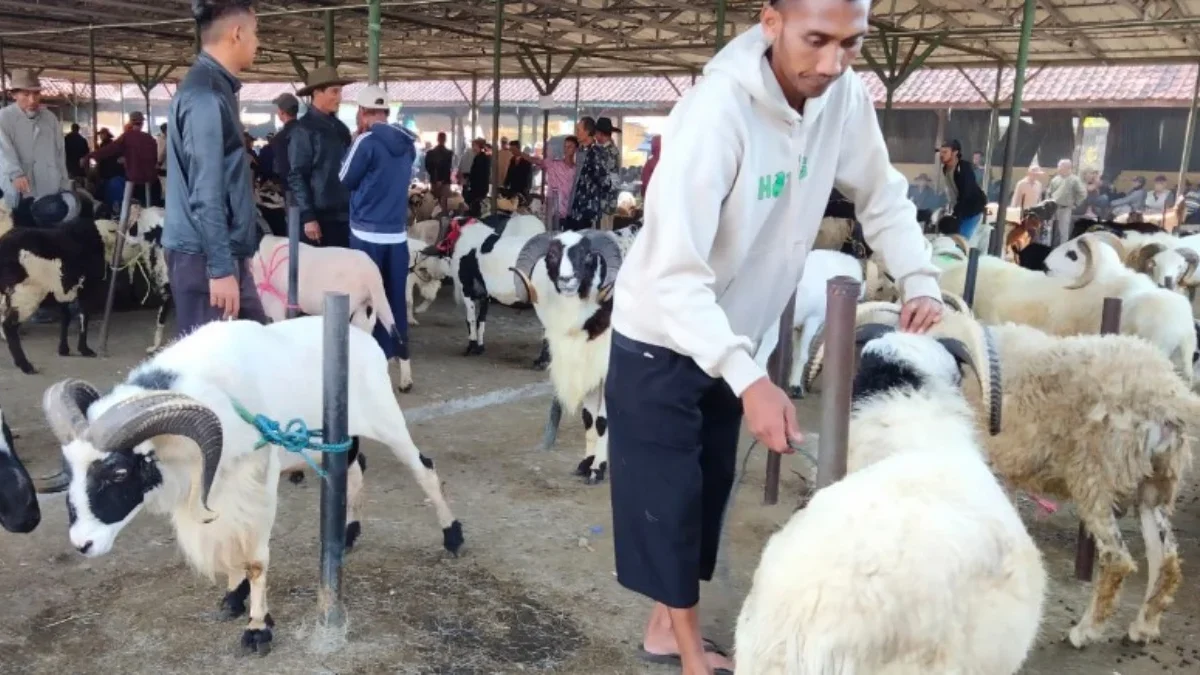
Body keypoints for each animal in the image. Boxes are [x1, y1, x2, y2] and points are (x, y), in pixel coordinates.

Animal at [0, 189, 106, 372]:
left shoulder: (63, 288)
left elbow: (65, 317)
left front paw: (63, 349)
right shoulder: (87, 288)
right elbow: (83, 317)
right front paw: (85, 349)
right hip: (24, 295)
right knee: (9, 326)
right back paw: (25, 365)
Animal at [44, 317, 463, 653]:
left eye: (118, 473)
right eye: (68, 470)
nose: (82, 544)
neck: (216, 390)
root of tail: (365, 337)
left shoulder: (257, 482)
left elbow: (256, 559)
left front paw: (258, 628)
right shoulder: (218, 489)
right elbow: (231, 547)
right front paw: (233, 598)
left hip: (386, 421)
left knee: (424, 470)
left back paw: (453, 536)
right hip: (340, 438)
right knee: (356, 468)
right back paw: (348, 533)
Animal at [508, 228, 624, 480]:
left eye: (588, 255)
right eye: (551, 256)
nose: (566, 280)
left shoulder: (606, 369)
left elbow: (602, 421)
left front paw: (597, 470)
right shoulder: (586, 368)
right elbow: (589, 419)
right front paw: (585, 465)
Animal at [801, 295, 1200, 648]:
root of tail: (1167, 394)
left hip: (1096, 474)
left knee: (1118, 561)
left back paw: (1084, 632)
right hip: (1154, 483)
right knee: (1166, 559)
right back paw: (1144, 626)